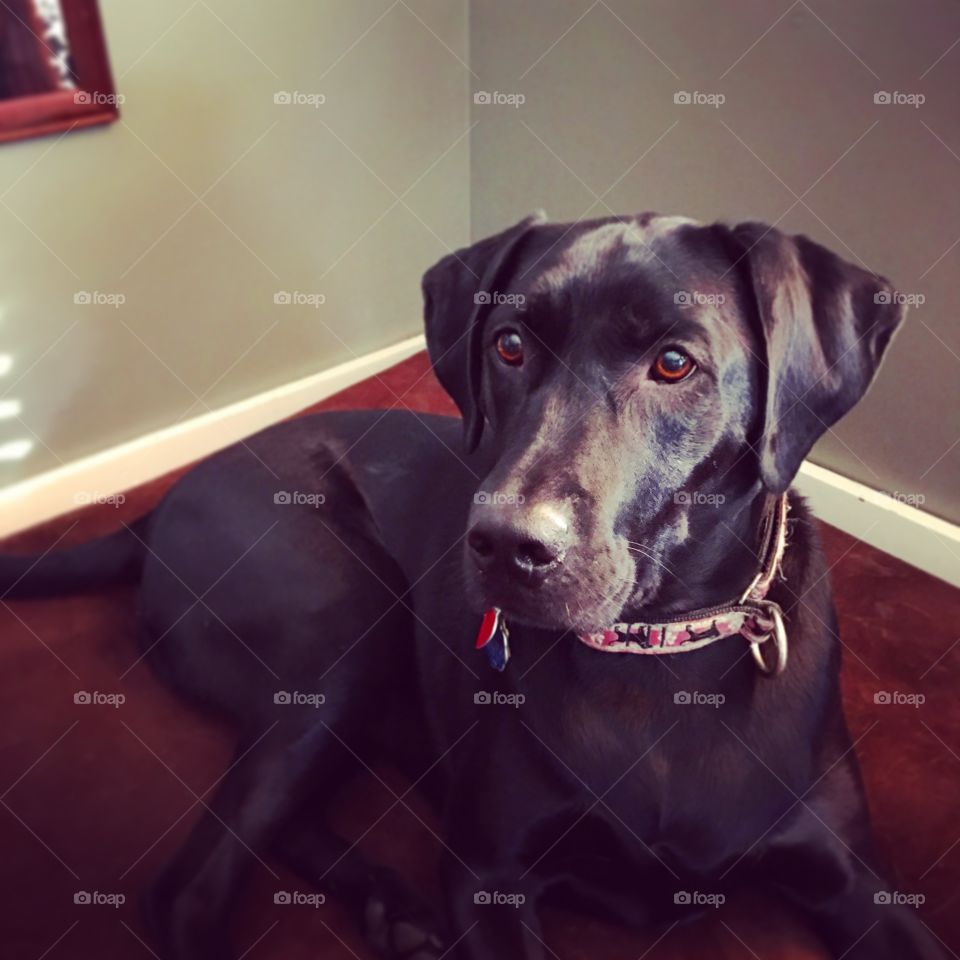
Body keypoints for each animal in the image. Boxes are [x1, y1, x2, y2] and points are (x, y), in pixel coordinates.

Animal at [0, 216, 944, 960]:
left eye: (674, 363)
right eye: (510, 345)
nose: (501, 545)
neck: (657, 653)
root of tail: (154, 510)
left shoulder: (855, 879)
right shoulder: (487, 872)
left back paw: (392, 908)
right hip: (344, 620)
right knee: (192, 886)